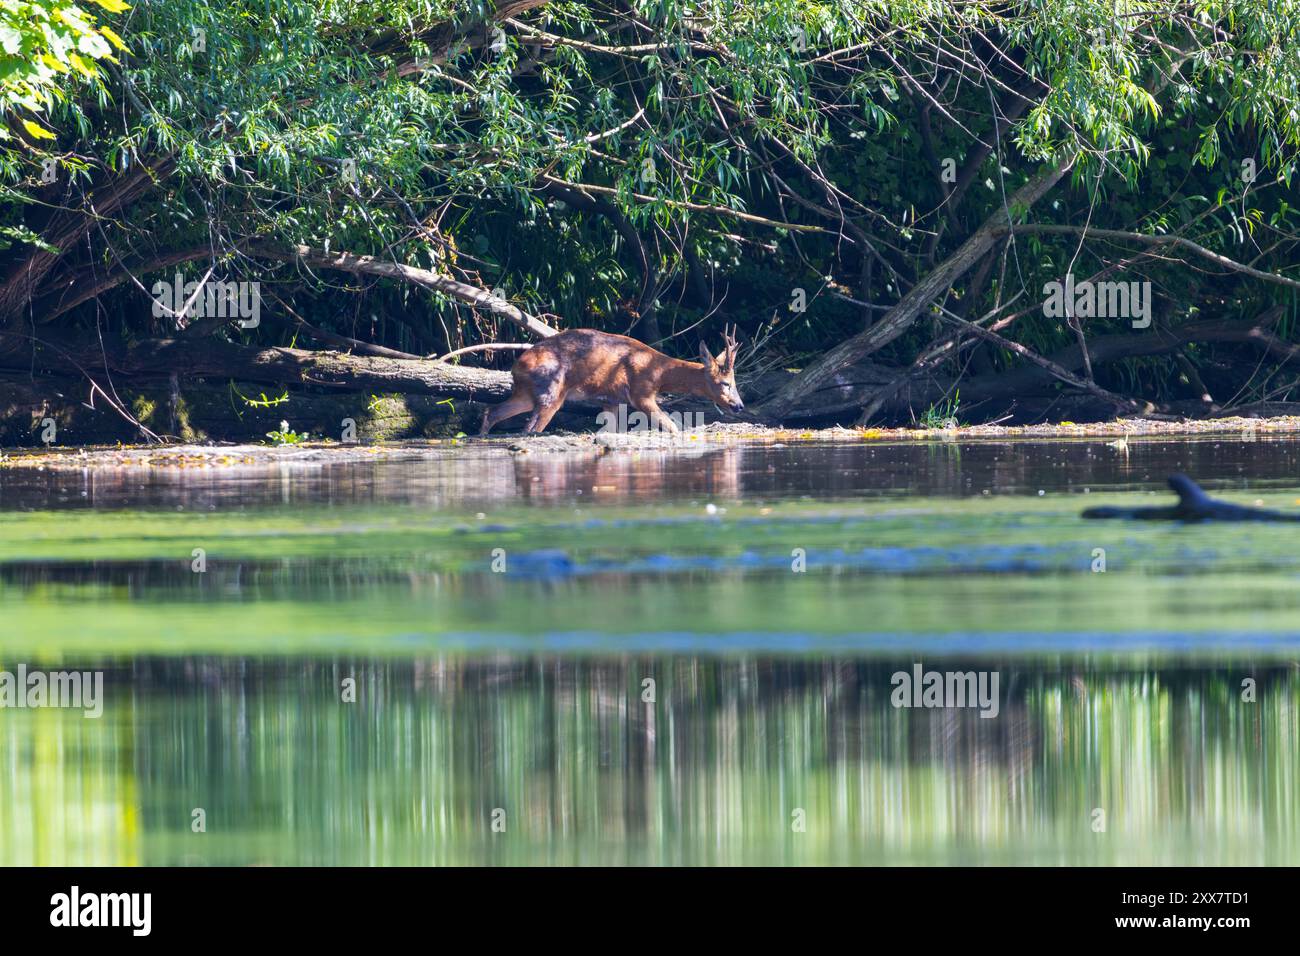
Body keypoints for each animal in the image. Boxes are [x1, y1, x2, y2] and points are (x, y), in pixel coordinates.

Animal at [479, 326, 744, 436]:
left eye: (735, 382)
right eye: (726, 383)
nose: (739, 405)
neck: (658, 371)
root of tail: (516, 366)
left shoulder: (611, 400)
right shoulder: (641, 393)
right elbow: (671, 426)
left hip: (525, 393)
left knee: (493, 411)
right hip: (551, 391)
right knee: (530, 428)